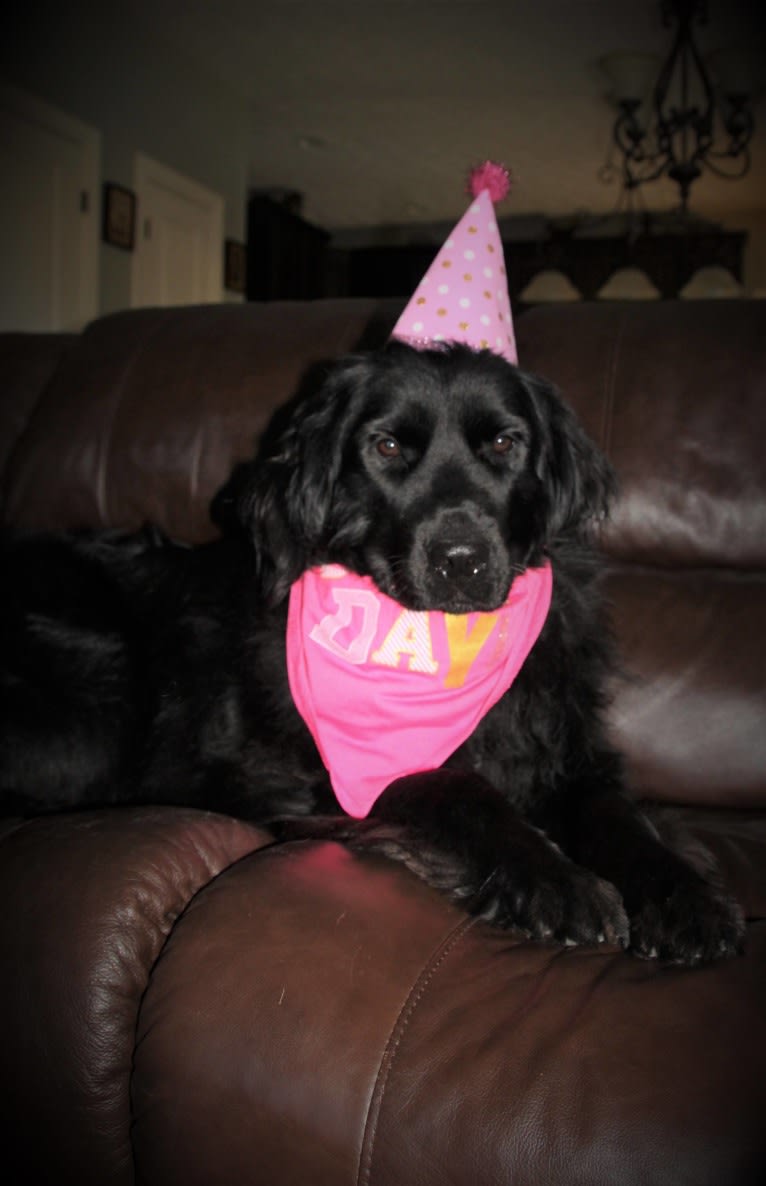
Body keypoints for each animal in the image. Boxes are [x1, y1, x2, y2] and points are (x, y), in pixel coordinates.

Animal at [0, 341, 744, 963]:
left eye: (506, 443)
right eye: (386, 447)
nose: (461, 560)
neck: (430, 640)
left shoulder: (564, 748)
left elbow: (617, 813)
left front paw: (688, 897)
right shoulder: (317, 776)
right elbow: (448, 785)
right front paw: (557, 881)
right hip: (102, 694)